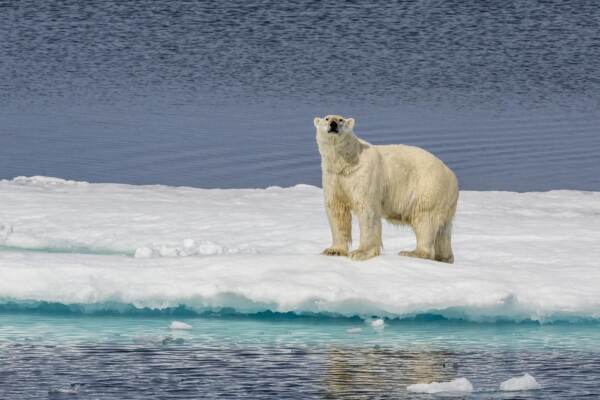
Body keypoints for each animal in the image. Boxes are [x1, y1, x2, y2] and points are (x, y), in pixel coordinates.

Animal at [316, 114, 458, 262]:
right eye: (327, 118)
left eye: (341, 120)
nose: (333, 124)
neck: (346, 161)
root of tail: (453, 177)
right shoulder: (333, 177)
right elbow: (337, 210)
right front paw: (333, 250)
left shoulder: (364, 176)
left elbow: (367, 211)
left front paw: (360, 252)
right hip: (444, 201)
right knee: (443, 231)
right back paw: (444, 257)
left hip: (429, 189)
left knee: (425, 220)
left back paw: (412, 252)